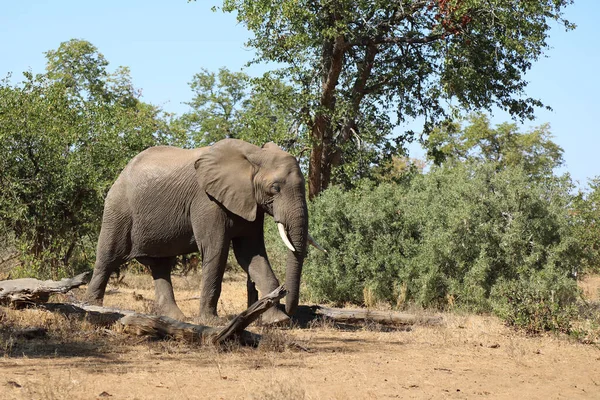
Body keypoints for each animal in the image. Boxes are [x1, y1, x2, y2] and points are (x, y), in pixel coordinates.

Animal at [85, 139, 324, 324]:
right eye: (275, 188)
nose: (291, 311)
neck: (252, 155)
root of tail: (121, 173)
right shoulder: (206, 201)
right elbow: (216, 251)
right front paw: (211, 322)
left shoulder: (250, 203)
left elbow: (250, 254)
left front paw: (277, 321)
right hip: (118, 209)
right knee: (107, 258)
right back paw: (92, 309)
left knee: (160, 265)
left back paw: (175, 319)